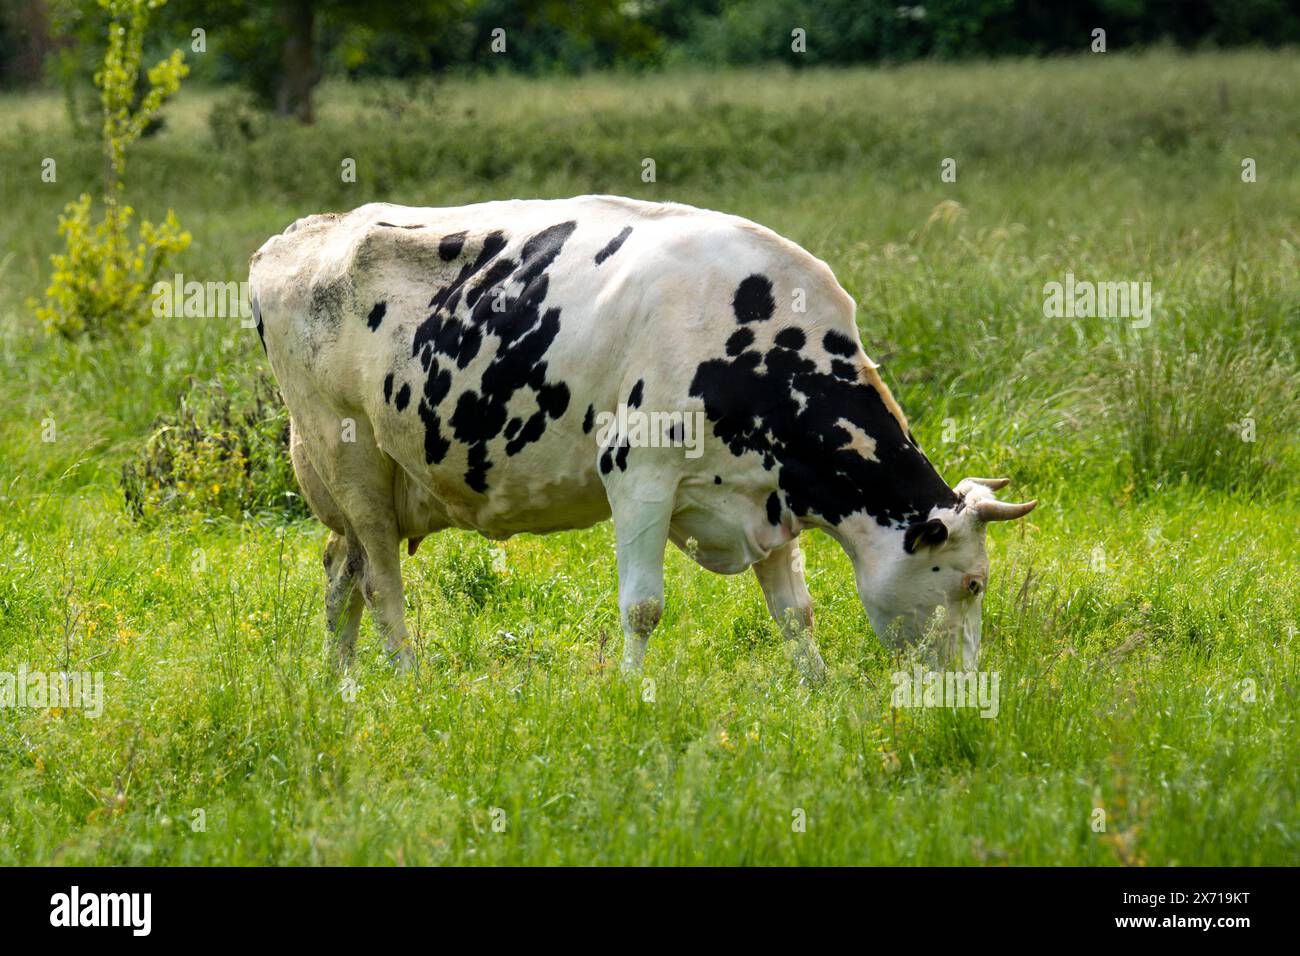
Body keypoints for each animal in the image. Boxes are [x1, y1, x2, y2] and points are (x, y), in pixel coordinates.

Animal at [249, 196, 1036, 679]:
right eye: (971, 583)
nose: (964, 691)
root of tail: (299, 236)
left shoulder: (766, 495)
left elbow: (795, 612)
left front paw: (817, 685)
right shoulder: (638, 472)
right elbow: (644, 606)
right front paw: (632, 691)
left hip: (370, 484)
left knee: (339, 570)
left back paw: (343, 681)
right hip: (348, 454)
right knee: (378, 579)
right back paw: (407, 676)